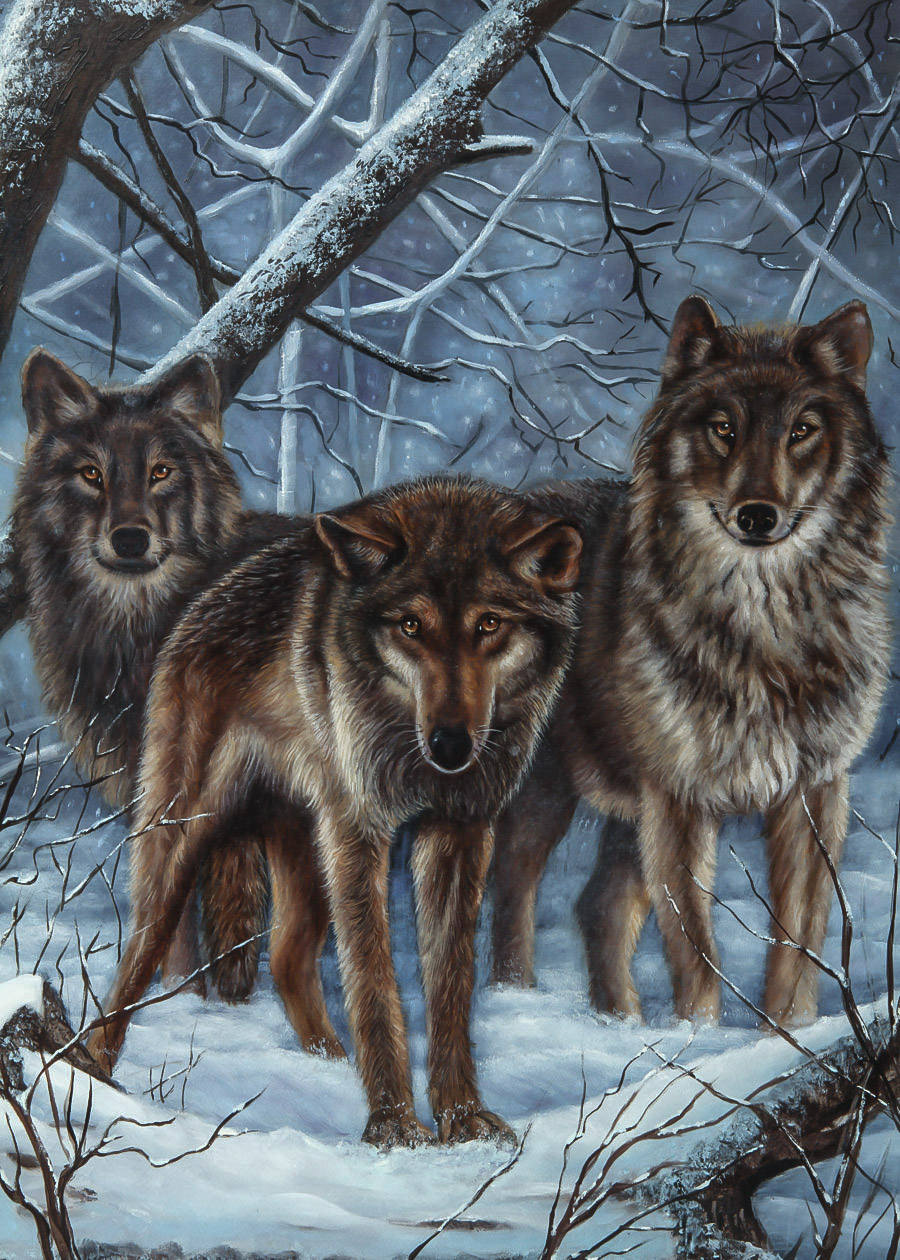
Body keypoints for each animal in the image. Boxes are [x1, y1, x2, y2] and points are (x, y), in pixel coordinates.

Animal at [85, 475, 582, 1147]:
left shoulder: (459, 827)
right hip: (187, 836)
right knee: (137, 955)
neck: (405, 732)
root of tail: (201, 604)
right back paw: (91, 1077)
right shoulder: (362, 828)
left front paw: (460, 1118)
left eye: (489, 624)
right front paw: (394, 1125)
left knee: (287, 958)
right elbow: (374, 982)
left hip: (310, 848)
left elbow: (450, 985)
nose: (451, 745)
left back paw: (331, 1069)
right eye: (410, 625)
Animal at [491, 298, 891, 1028]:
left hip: (625, 813)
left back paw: (618, 1024)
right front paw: (700, 1035)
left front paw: (784, 1034)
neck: (765, 629)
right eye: (723, 429)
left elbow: (800, 937)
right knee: (508, 897)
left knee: (598, 904)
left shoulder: (813, 791)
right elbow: (694, 944)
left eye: (802, 431)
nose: (757, 515)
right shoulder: (679, 798)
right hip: (542, 793)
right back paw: (515, 1005)